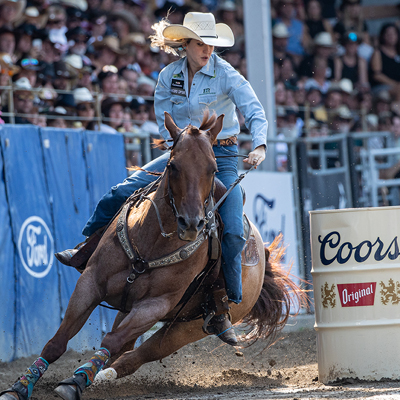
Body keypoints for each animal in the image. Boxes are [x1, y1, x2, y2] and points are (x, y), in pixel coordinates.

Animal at [0, 111, 304, 400]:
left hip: (186, 329)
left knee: (136, 354)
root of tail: (262, 256)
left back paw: (97, 377)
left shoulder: (154, 305)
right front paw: (18, 387)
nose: (191, 224)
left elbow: (111, 342)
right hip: (128, 309)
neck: (150, 244)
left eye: (213, 168)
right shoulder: (90, 283)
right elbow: (57, 341)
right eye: (172, 165)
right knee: (125, 345)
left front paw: (73, 384)